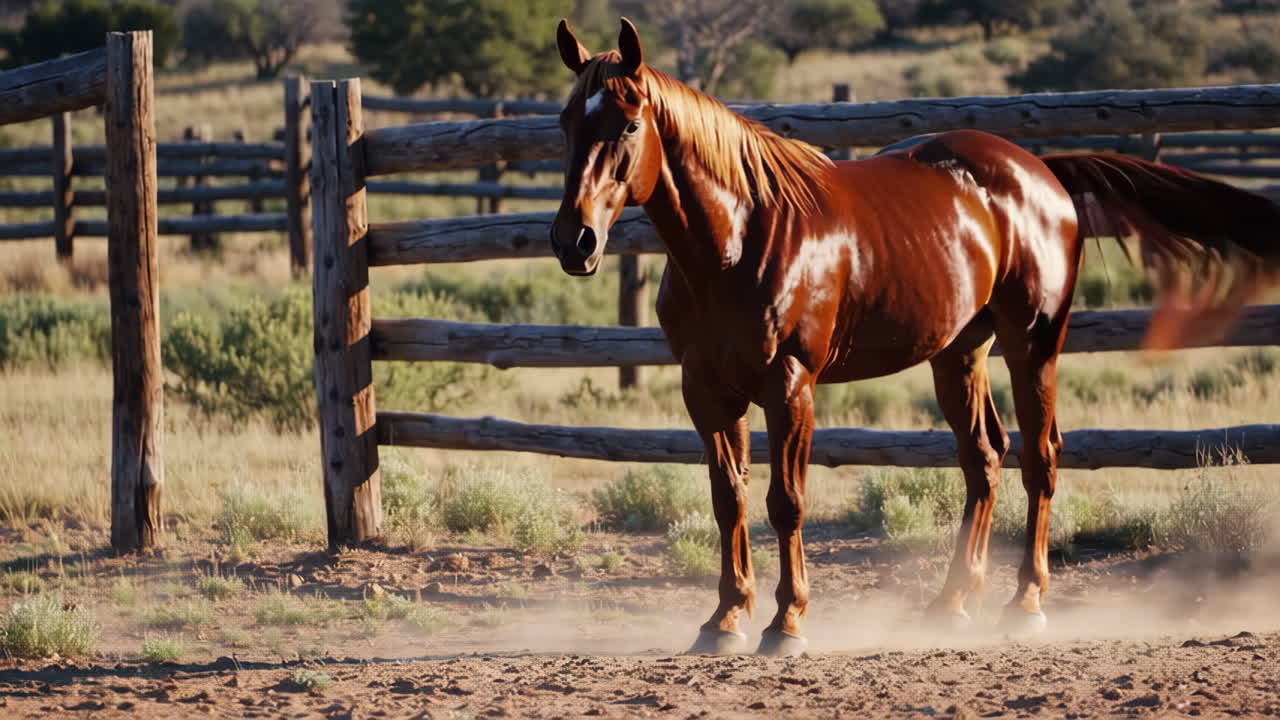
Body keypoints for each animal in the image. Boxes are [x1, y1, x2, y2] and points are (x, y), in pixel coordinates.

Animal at [550, 18, 1280, 656]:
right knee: (984, 457)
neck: (740, 240)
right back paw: (951, 604)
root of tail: (1042, 172)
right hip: (960, 352)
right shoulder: (707, 391)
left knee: (1041, 456)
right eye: (565, 123)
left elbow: (786, 502)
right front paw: (726, 620)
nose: (573, 240)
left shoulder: (791, 386)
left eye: (629, 123)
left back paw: (1024, 604)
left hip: (1033, 345)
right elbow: (728, 499)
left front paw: (787, 624)